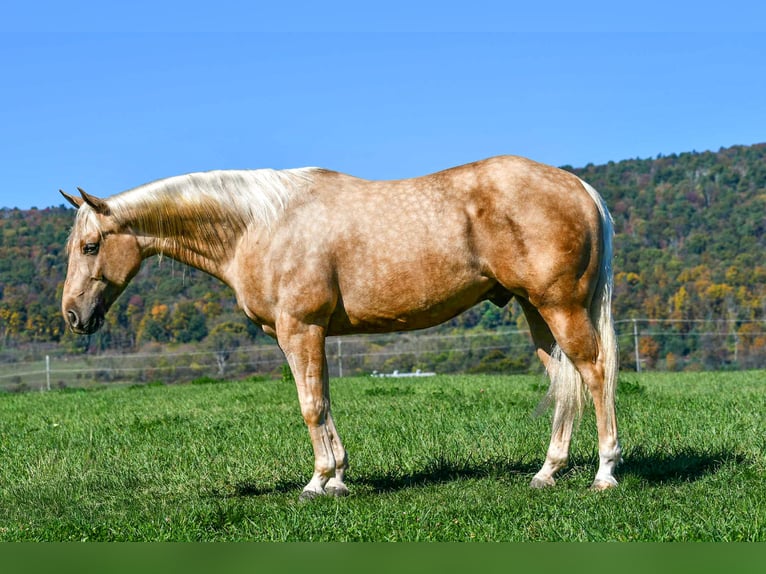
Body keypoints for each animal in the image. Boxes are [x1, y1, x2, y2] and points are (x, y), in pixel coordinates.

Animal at [60, 155, 621, 499]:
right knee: (564, 380)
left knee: (594, 373)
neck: (261, 223)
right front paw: (338, 479)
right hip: (535, 310)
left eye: (90, 246)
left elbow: (310, 406)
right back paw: (547, 472)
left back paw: (605, 472)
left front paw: (318, 482)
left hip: (561, 307)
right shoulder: (312, 334)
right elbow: (324, 400)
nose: (73, 315)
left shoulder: (299, 329)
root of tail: (580, 187)